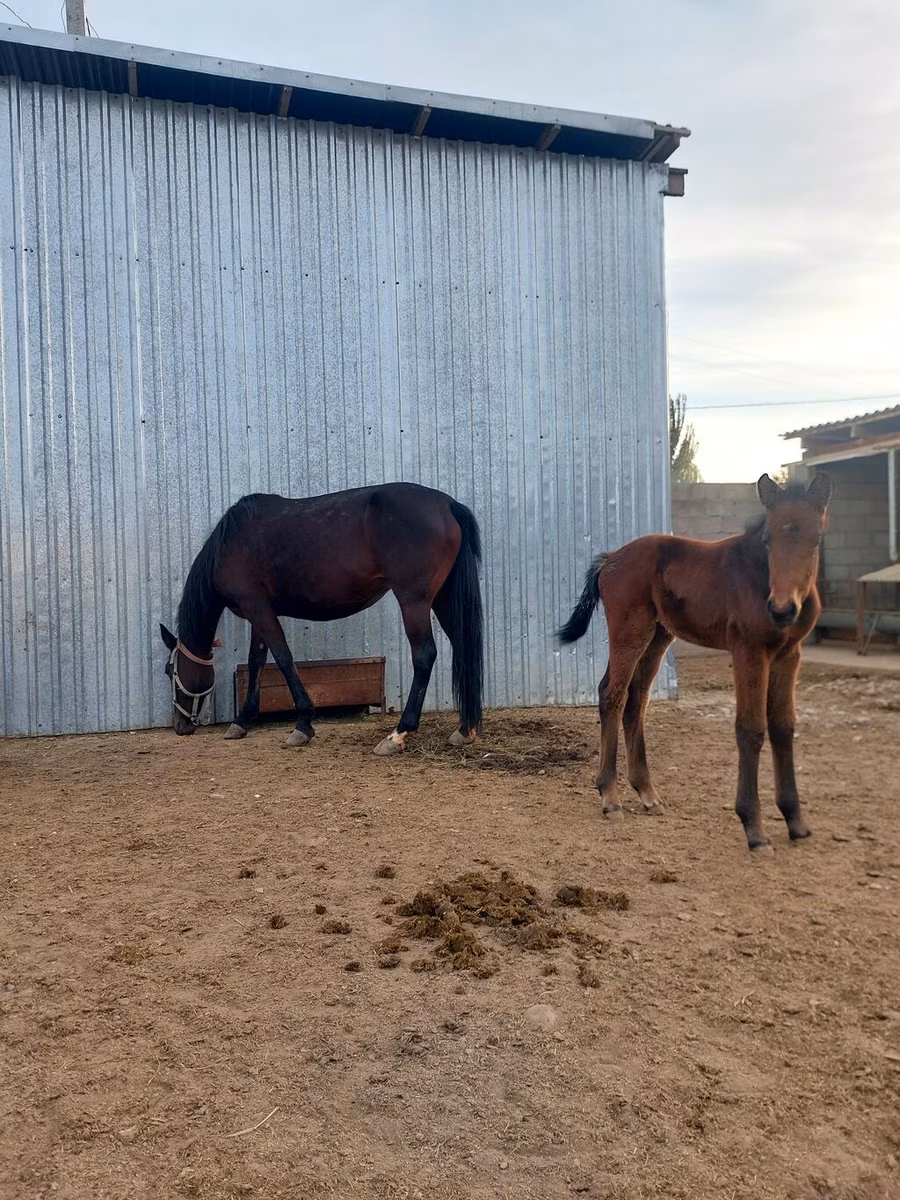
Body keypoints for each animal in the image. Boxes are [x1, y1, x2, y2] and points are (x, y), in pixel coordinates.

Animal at [159, 482, 483, 755]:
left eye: (169, 670)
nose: (180, 726)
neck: (230, 543)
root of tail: (448, 504)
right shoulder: (260, 612)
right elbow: (256, 661)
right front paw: (242, 721)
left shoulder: (258, 609)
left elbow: (283, 658)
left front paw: (303, 725)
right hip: (442, 598)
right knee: (463, 647)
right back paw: (464, 730)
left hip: (414, 601)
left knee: (424, 655)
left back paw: (397, 734)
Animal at [558, 472, 832, 853]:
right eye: (768, 539)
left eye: (816, 539)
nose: (781, 610)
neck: (759, 577)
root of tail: (611, 558)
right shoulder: (748, 651)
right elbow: (750, 728)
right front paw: (754, 829)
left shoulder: (789, 655)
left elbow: (783, 726)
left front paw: (796, 822)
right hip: (631, 632)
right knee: (613, 694)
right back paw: (610, 797)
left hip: (658, 637)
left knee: (636, 700)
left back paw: (647, 793)